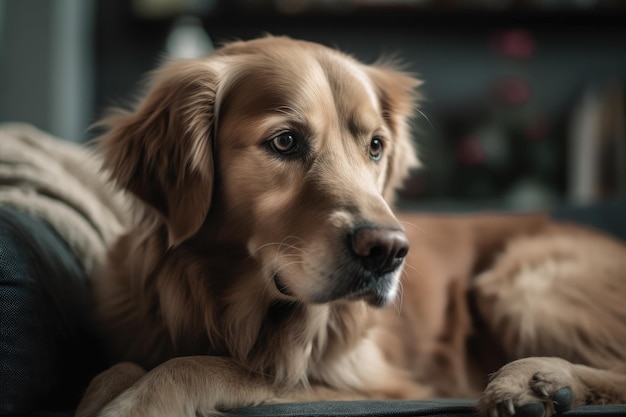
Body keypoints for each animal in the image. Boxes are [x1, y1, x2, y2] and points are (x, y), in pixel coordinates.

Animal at [74, 36, 624, 416]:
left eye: (375, 146)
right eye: (285, 141)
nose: (389, 250)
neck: (223, 305)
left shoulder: (378, 383)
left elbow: (203, 365)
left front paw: (137, 403)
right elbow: (114, 369)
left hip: (521, 281)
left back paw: (533, 379)